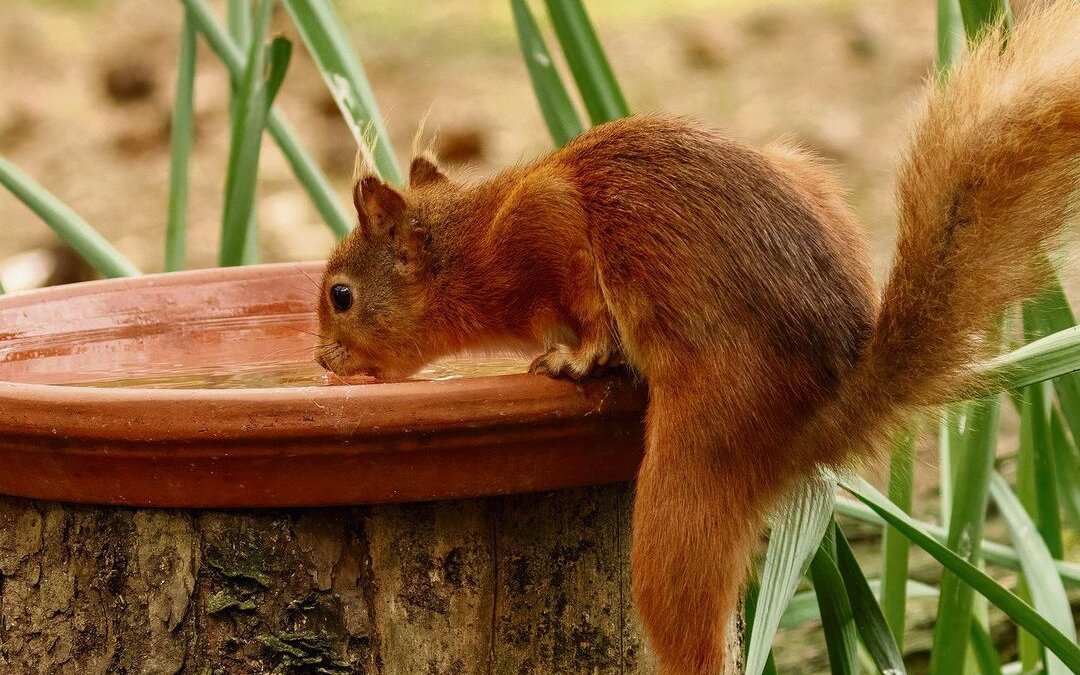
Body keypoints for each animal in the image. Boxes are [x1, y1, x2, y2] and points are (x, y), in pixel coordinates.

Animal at [315, 6, 1075, 673]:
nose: (322, 359)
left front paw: (576, 354)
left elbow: (584, 298)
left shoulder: (545, 222)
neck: (475, 239)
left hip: (697, 454)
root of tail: (833, 409)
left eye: (341, 295)